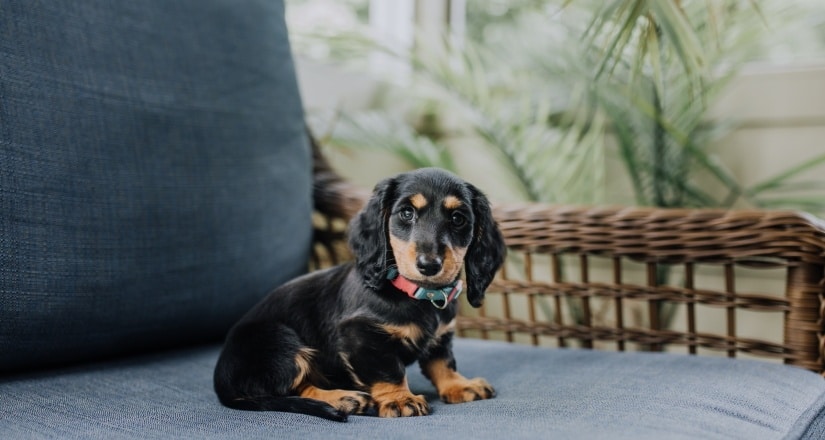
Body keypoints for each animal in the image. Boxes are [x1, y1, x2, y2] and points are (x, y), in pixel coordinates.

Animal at [211, 167, 508, 422]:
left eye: (458, 218)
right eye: (407, 213)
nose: (429, 265)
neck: (416, 294)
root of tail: (221, 383)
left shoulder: (442, 335)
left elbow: (442, 362)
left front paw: (459, 385)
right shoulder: (361, 335)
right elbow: (388, 371)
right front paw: (400, 399)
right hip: (278, 341)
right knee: (291, 387)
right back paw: (344, 398)